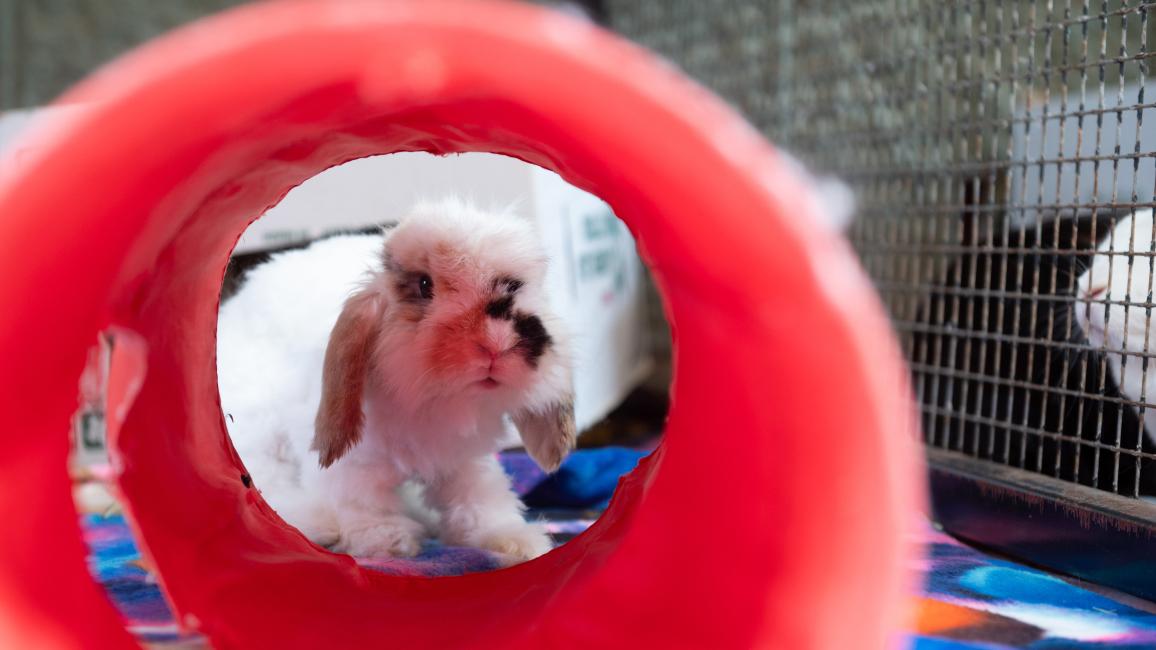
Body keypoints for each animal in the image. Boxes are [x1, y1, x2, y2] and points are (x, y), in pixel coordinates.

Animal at [217, 198, 576, 564]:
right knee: (270, 477)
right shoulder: (354, 463)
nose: (496, 343)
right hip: (261, 432)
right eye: (425, 285)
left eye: (519, 287)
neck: (431, 400)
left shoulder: (465, 459)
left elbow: (480, 497)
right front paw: (387, 541)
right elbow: (363, 501)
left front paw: (514, 541)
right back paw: (316, 524)